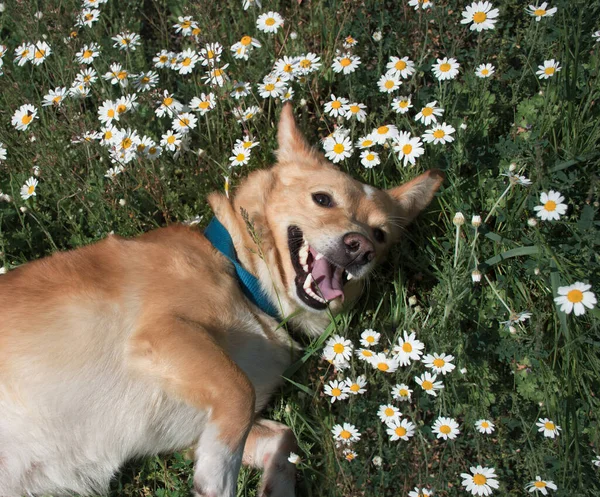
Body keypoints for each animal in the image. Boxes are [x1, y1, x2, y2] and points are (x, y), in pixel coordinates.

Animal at [0, 103, 440, 496]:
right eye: (322, 199)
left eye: (380, 235)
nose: (361, 248)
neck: (247, 287)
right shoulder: (163, 334)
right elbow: (239, 390)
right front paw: (217, 479)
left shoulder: (196, 429)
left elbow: (284, 438)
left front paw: (275, 490)